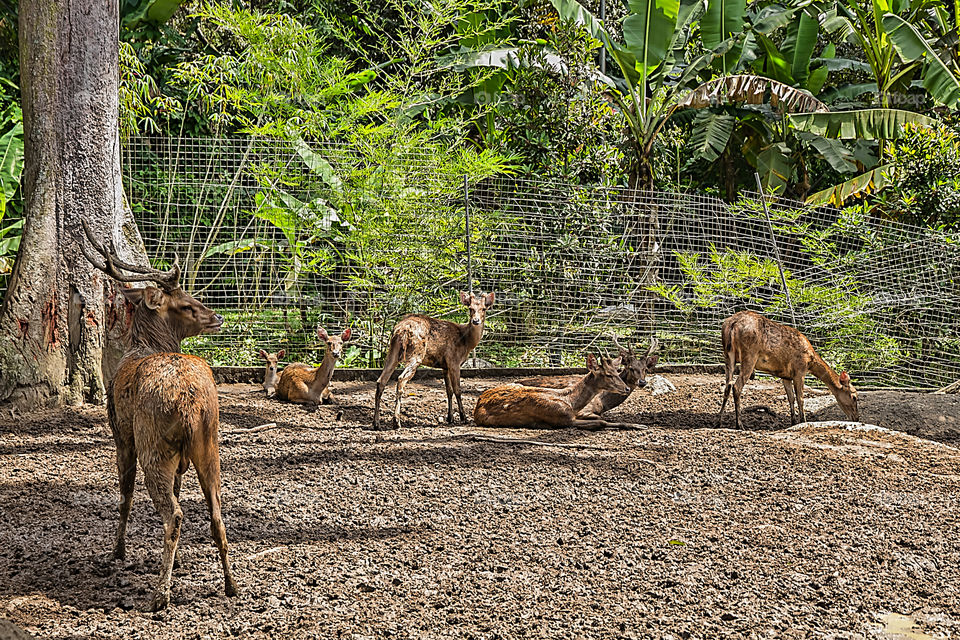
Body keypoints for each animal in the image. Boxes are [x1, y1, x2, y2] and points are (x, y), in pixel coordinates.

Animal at [77, 222, 238, 612]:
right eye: (185, 304)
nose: (218, 316)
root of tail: (191, 403)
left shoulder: (121, 435)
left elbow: (124, 495)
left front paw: (117, 551)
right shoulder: (180, 459)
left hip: (154, 446)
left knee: (175, 514)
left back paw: (159, 595)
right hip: (209, 446)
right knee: (215, 513)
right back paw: (230, 586)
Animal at [470, 352, 636, 432]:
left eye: (617, 371)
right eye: (608, 374)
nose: (626, 388)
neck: (571, 404)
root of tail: (478, 402)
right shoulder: (563, 418)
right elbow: (600, 422)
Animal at [720, 310, 864, 430]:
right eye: (854, 396)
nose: (856, 418)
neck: (811, 360)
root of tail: (732, 323)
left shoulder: (785, 376)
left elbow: (791, 398)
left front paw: (793, 421)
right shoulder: (799, 370)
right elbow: (800, 398)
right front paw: (803, 421)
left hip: (727, 355)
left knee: (727, 386)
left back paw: (719, 420)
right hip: (749, 354)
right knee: (736, 387)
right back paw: (740, 425)